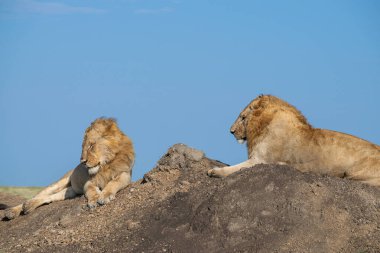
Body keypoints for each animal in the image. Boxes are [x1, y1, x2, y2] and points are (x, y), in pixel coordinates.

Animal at [4, 118, 135, 219]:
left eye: (91, 145)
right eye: (83, 146)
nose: (82, 162)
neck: (105, 165)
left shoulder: (125, 174)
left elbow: (114, 183)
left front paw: (105, 195)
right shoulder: (88, 182)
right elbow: (91, 190)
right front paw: (94, 200)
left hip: (70, 191)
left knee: (49, 198)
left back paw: (28, 207)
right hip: (60, 183)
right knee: (38, 195)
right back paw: (13, 211)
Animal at [208, 95, 380, 186]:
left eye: (243, 117)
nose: (231, 131)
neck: (262, 125)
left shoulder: (260, 159)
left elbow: (236, 169)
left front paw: (214, 171)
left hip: (353, 172)